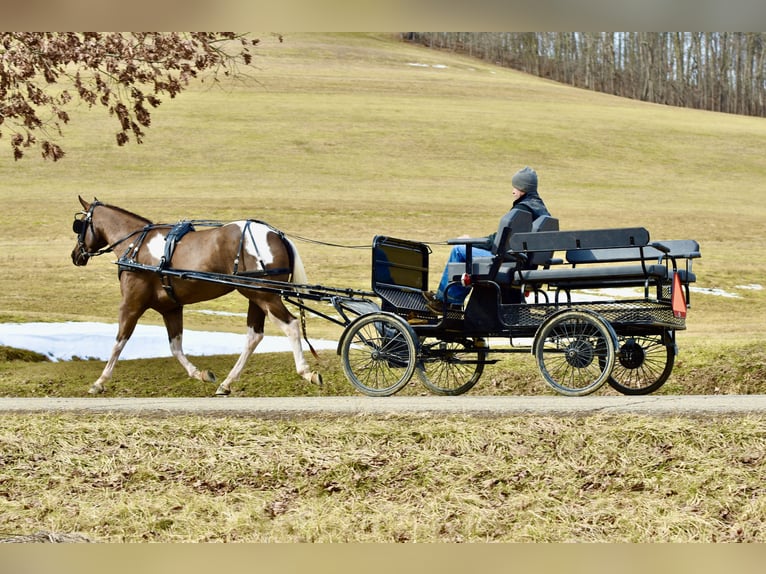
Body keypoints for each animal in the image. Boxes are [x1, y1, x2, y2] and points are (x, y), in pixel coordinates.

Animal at [70, 196, 322, 396]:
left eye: (79, 225)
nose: (75, 255)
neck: (136, 246)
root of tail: (277, 235)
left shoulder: (131, 303)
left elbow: (119, 341)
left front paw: (100, 381)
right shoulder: (171, 308)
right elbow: (175, 346)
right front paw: (200, 373)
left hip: (264, 295)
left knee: (290, 325)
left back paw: (305, 372)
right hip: (256, 295)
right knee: (254, 336)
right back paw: (227, 383)